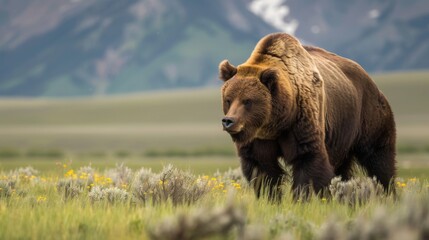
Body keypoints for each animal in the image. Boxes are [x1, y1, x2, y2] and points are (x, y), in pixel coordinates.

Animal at [219, 32, 396, 201]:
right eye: (228, 99)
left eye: (247, 101)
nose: (229, 121)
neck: (277, 122)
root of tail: (367, 76)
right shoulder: (258, 138)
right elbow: (261, 169)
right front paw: (269, 198)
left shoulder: (302, 120)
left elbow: (308, 160)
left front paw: (303, 198)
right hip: (342, 134)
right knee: (342, 167)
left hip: (367, 113)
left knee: (378, 157)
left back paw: (388, 192)